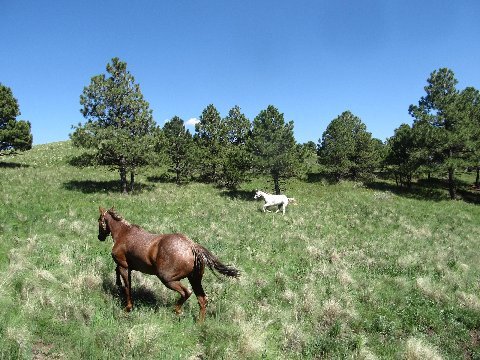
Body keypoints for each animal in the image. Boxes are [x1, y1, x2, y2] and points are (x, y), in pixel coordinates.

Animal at [97, 207, 240, 322]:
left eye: (99, 220)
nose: (100, 237)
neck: (123, 233)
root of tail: (192, 246)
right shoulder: (128, 267)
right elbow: (117, 272)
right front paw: (118, 284)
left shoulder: (124, 266)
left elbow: (127, 286)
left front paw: (128, 307)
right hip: (195, 279)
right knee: (202, 300)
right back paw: (199, 324)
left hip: (168, 279)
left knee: (186, 292)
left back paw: (177, 310)